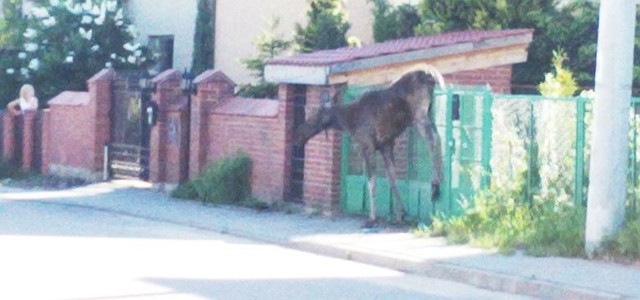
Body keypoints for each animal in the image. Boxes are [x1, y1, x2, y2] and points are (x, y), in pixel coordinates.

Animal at [296, 67, 442, 227]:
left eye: (315, 114)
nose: (299, 134)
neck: (349, 122)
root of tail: (431, 75)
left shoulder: (367, 145)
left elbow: (371, 181)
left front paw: (372, 218)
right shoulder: (386, 145)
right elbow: (391, 178)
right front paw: (400, 213)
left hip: (419, 114)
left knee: (433, 139)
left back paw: (436, 185)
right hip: (429, 111)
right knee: (439, 136)